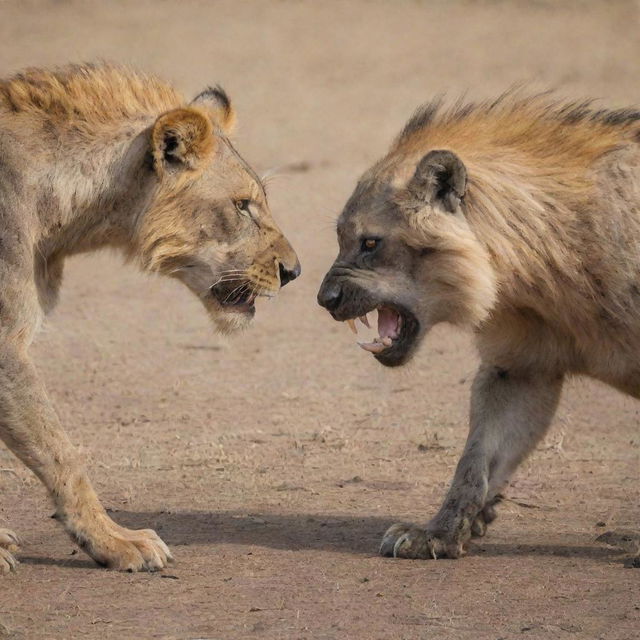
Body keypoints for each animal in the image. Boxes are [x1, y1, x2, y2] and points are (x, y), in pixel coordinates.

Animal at [318, 91, 640, 560]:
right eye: (341, 239)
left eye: (370, 243)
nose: (325, 299)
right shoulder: (519, 370)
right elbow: (476, 458)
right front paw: (438, 534)